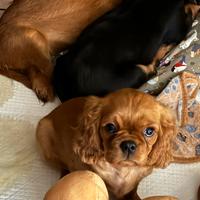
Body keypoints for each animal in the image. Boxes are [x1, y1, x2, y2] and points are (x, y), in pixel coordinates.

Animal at [36, 89, 177, 200]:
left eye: (149, 131)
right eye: (110, 127)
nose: (129, 145)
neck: (122, 169)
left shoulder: (135, 183)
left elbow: (133, 191)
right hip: (43, 134)